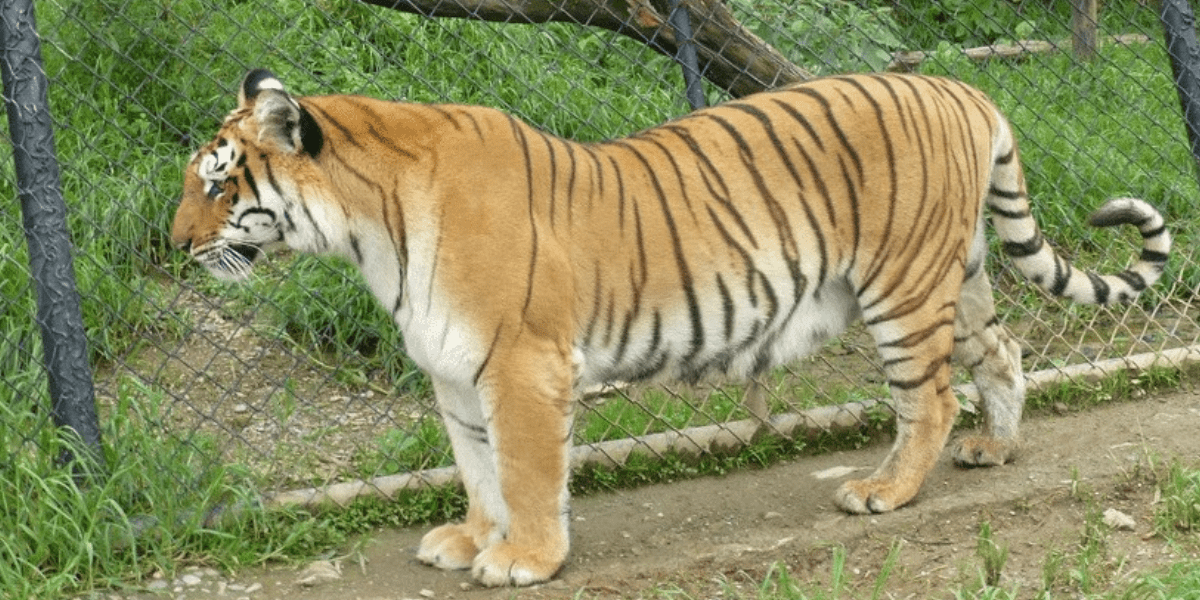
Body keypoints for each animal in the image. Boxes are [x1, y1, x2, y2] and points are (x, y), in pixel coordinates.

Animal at [171, 68, 1170, 586]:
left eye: (218, 185)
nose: (174, 245)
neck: (368, 231)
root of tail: (962, 85)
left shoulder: (522, 365)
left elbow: (526, 473)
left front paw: (525, 559)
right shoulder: (453, 374)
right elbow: (476, 469)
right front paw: (472, 540)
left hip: (902, 288)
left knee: (930, 399)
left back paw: (885, 491)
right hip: (953, 283)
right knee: (1004, 350)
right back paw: (996, 451)